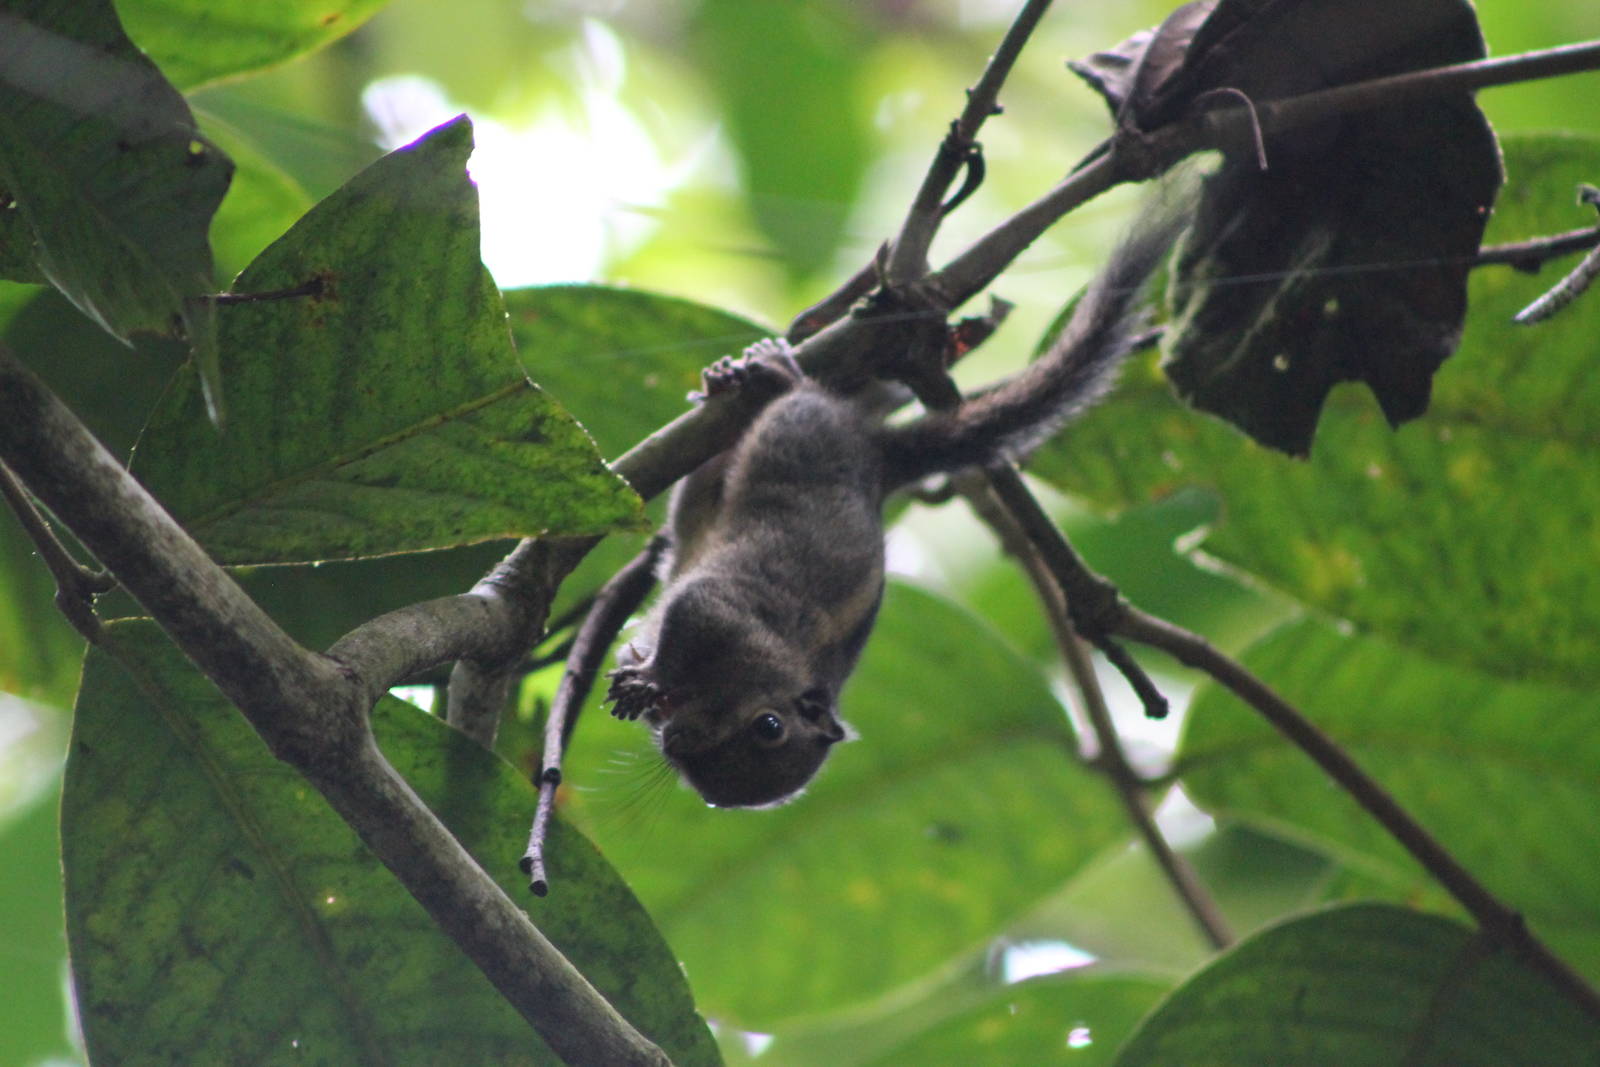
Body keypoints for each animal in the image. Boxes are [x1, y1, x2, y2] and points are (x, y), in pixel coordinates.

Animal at [607, 219, 1178, 808]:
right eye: (770, 726)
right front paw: (648, 674)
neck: (775, 672)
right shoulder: (726, 613)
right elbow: (694, 607)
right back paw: (774, 373)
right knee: (799, 400)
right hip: (800, 433)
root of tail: (879, 454)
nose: (677, 742)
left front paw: (643, 679)